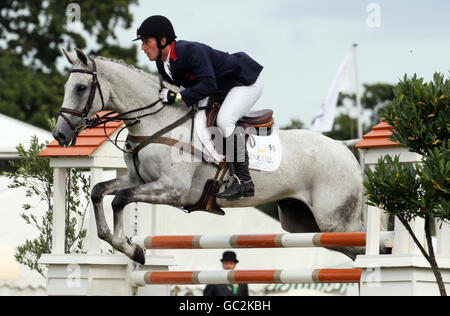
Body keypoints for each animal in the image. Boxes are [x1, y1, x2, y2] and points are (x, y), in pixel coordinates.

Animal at [52, 49, 370, 266]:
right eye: (67, 87)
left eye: (80, 88)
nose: (60, 135)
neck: (157, 122)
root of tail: (342, 147)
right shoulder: (136, 179)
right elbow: (99, 191)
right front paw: (125, 244)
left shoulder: (173, 189)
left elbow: (120, 199)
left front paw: (131, 248)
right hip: (304, 223)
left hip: (336, 222)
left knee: (368, 245)